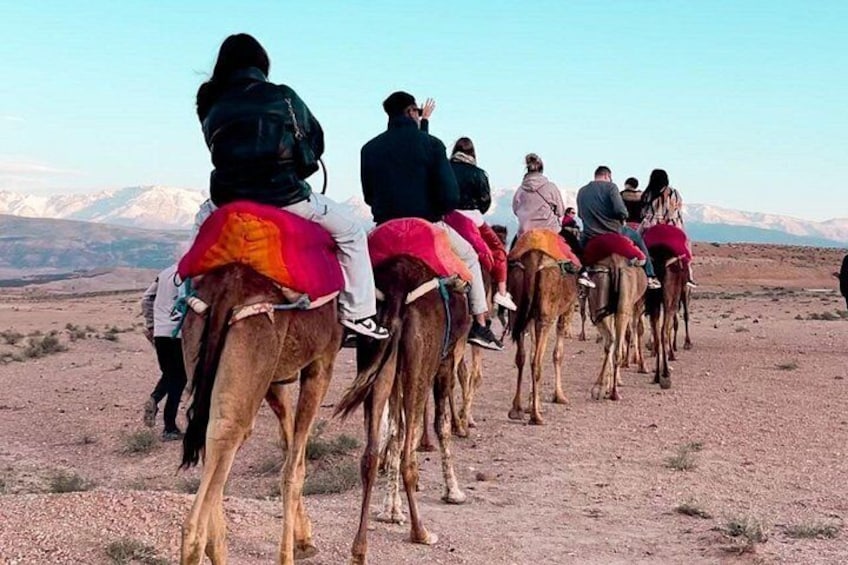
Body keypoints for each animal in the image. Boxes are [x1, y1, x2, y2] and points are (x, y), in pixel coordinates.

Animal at [178, 263, 342, 565]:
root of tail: (229, 286)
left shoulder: (275, 379)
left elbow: (287, 445)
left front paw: (304, 539)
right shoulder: (321, 364)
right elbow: (294, 468)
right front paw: (292, 551)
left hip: (200, 335)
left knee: (216, 435)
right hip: (256, 337)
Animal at [335, 256, 470, 565]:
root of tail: (398, 289)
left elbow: (395, 432)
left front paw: (390, 510)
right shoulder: (445, 361)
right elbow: (440, 426)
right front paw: (453, 491)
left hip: (375, 354)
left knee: (370, 455)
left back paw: (359, 550)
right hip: (421, 360)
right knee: (409, 455)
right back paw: (421, 532)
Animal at [507, 249, 578, 425]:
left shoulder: (531, 317)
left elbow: (531, 351)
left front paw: (532, 403)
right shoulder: (566, 310)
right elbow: (558, 354)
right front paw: (559, 396)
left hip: (517, 312)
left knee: (521, 357)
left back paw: (516, 410)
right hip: (546, 317)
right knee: (536, 361)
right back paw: (536, 417)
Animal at [586, 255, 647, 400]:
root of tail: (614, 264)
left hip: (600, 305)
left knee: (611, 341)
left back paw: (601, 388)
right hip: (622, 307)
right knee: (615, 342)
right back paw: (611, 390)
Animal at [646, 245, 688, 388]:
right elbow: (672, 326)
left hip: (653, 299)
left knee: (657, 333)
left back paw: (657, 376)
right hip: (670, 297)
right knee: (664, 330)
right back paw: (665, 374)